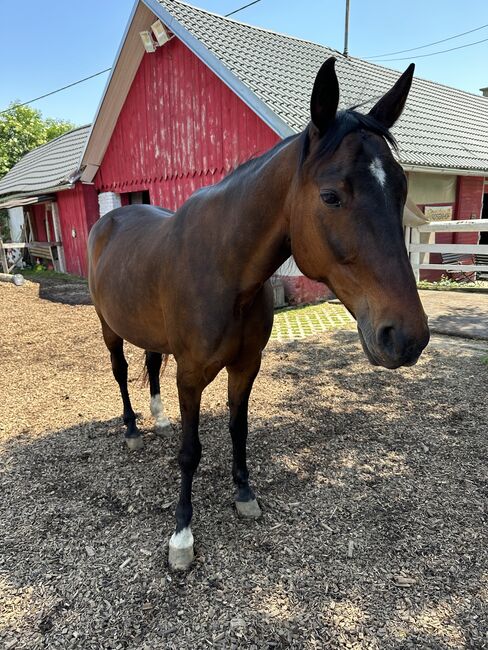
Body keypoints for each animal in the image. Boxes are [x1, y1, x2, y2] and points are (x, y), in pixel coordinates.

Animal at [88, 59, 430, 568]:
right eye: (331, 196)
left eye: (402, 188)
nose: (407, 337)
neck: (225, 269)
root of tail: (107, 220)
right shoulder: (190, 374)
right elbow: (190, 452)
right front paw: (181, 535)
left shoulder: (246, 365)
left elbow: (239, 428)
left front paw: (244, 494)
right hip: (109, 326)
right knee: (120, 369)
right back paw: (132, 428)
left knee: (148, 362)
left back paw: (158, 418)